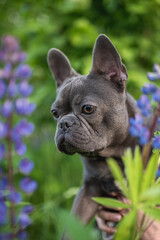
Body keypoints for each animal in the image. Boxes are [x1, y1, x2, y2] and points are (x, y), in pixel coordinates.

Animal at [47, 33, 152, 238]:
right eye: (55, 113)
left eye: (88, 108)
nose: (64, 123)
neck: (112, 154)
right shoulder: (88, 191)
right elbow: (72, 226)